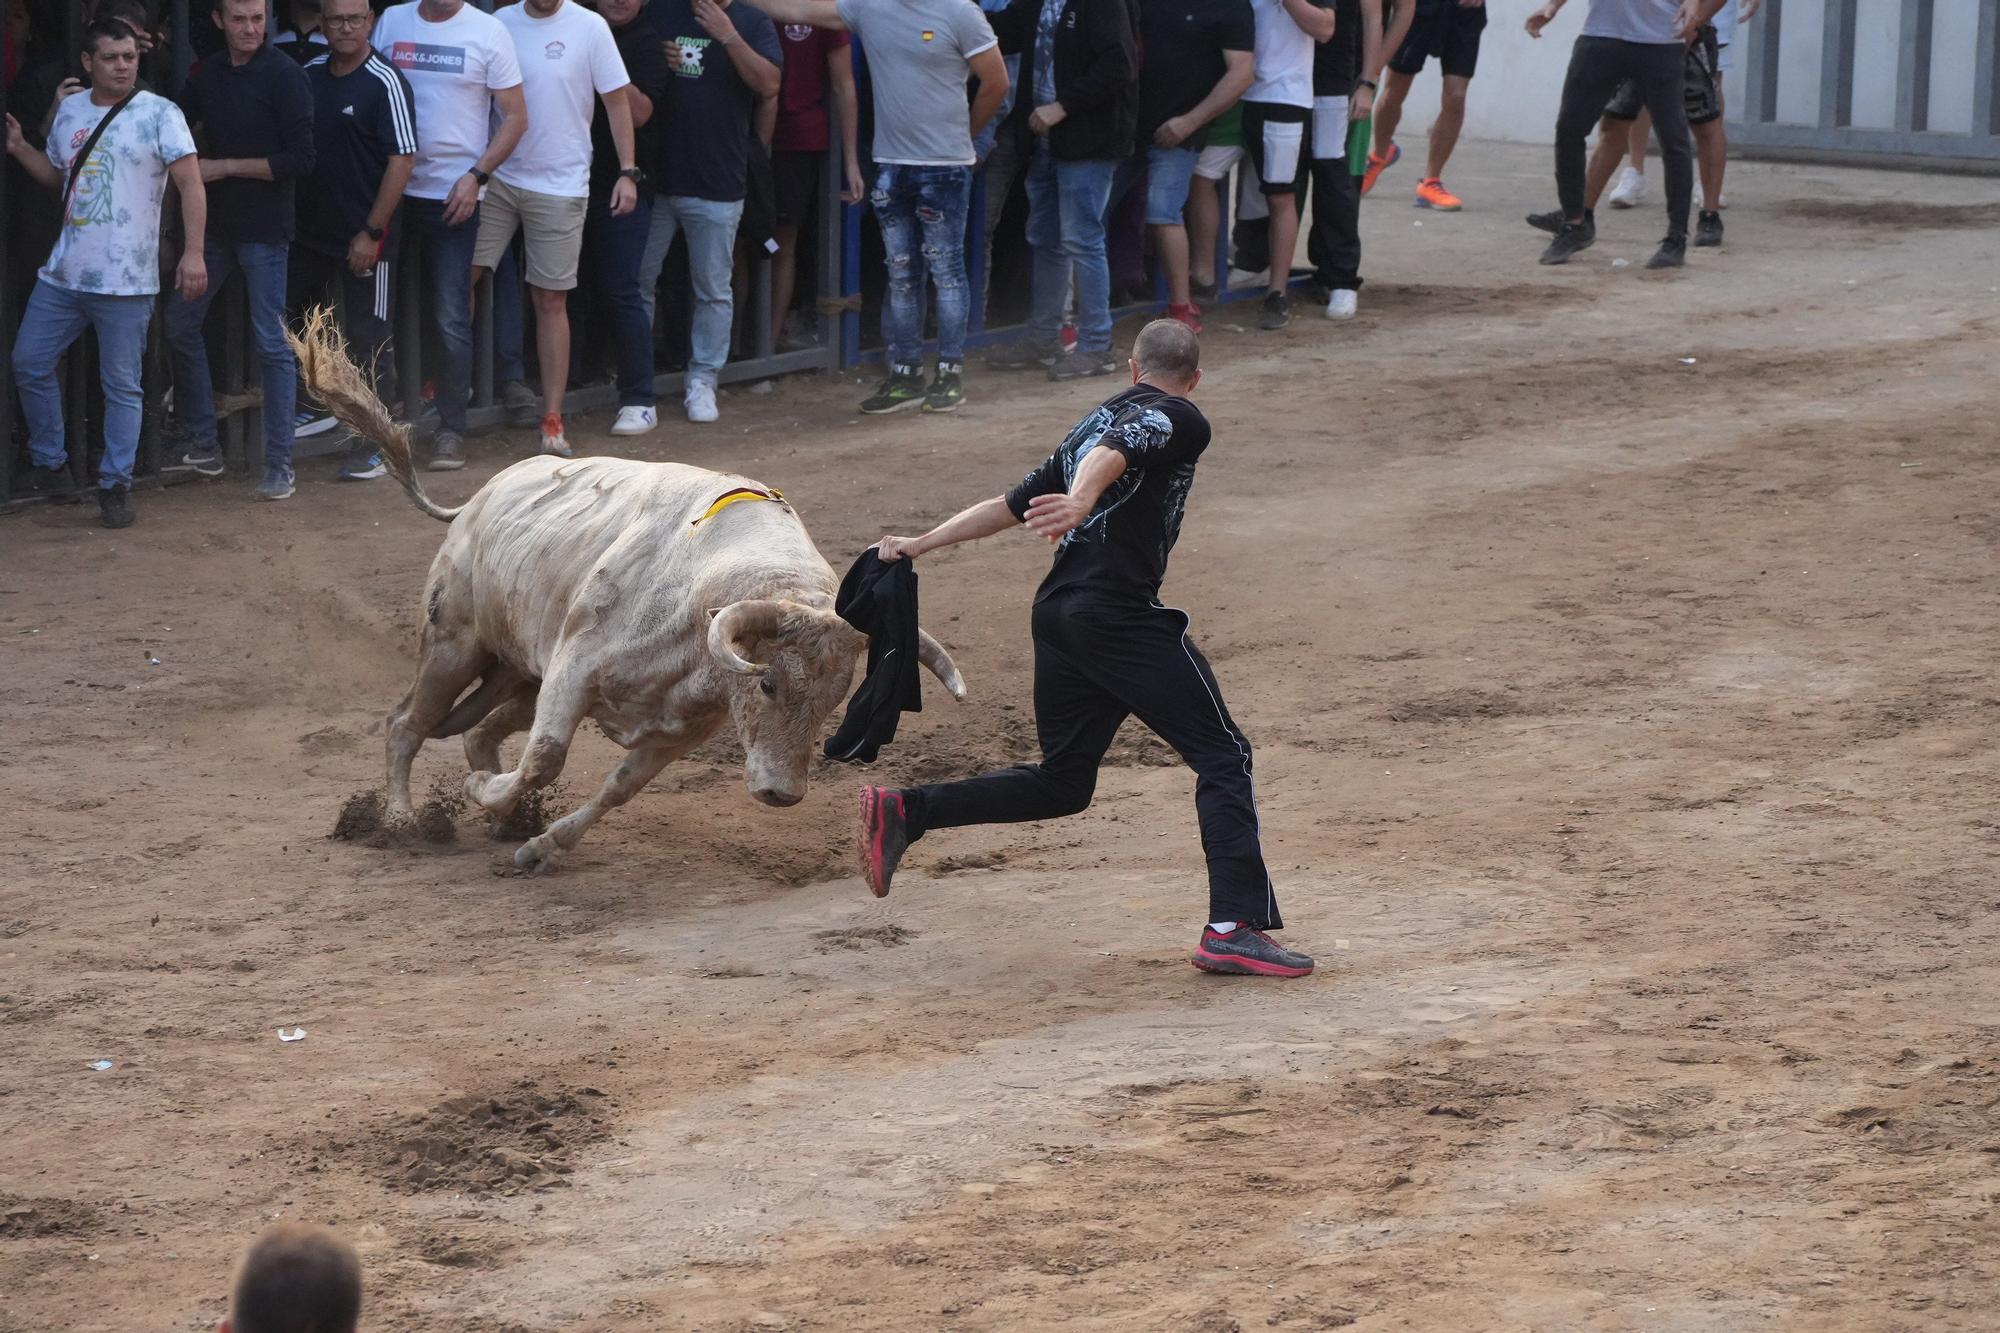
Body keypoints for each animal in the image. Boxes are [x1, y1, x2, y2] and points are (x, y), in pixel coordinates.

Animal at [286, 312, 964, 872]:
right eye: (768, 684)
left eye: (833, 700)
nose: (781, 794)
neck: (700, 594)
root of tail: (477, 501)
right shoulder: (573, 670)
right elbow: (544, 759)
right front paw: (484, 797)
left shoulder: (677, 729)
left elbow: (619, 787)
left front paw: (539, 846)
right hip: (455, 645)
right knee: (407, 724)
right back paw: (403, 820)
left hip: (518, 675)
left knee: (478, 733)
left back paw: (503, 821)